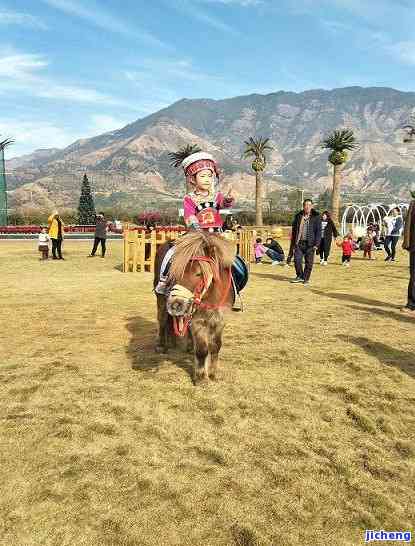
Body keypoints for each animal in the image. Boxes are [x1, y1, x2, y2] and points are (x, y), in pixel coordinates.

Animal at [154, 231, 236, 382]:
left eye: (199, 273)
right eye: (174, 272)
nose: (176, 304)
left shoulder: (220, 319)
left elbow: (215, 346)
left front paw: (212, 374)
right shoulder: (198, 320)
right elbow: (202, 349)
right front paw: (201, 378)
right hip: (161, 299)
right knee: (162, 320)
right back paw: (162, 346)